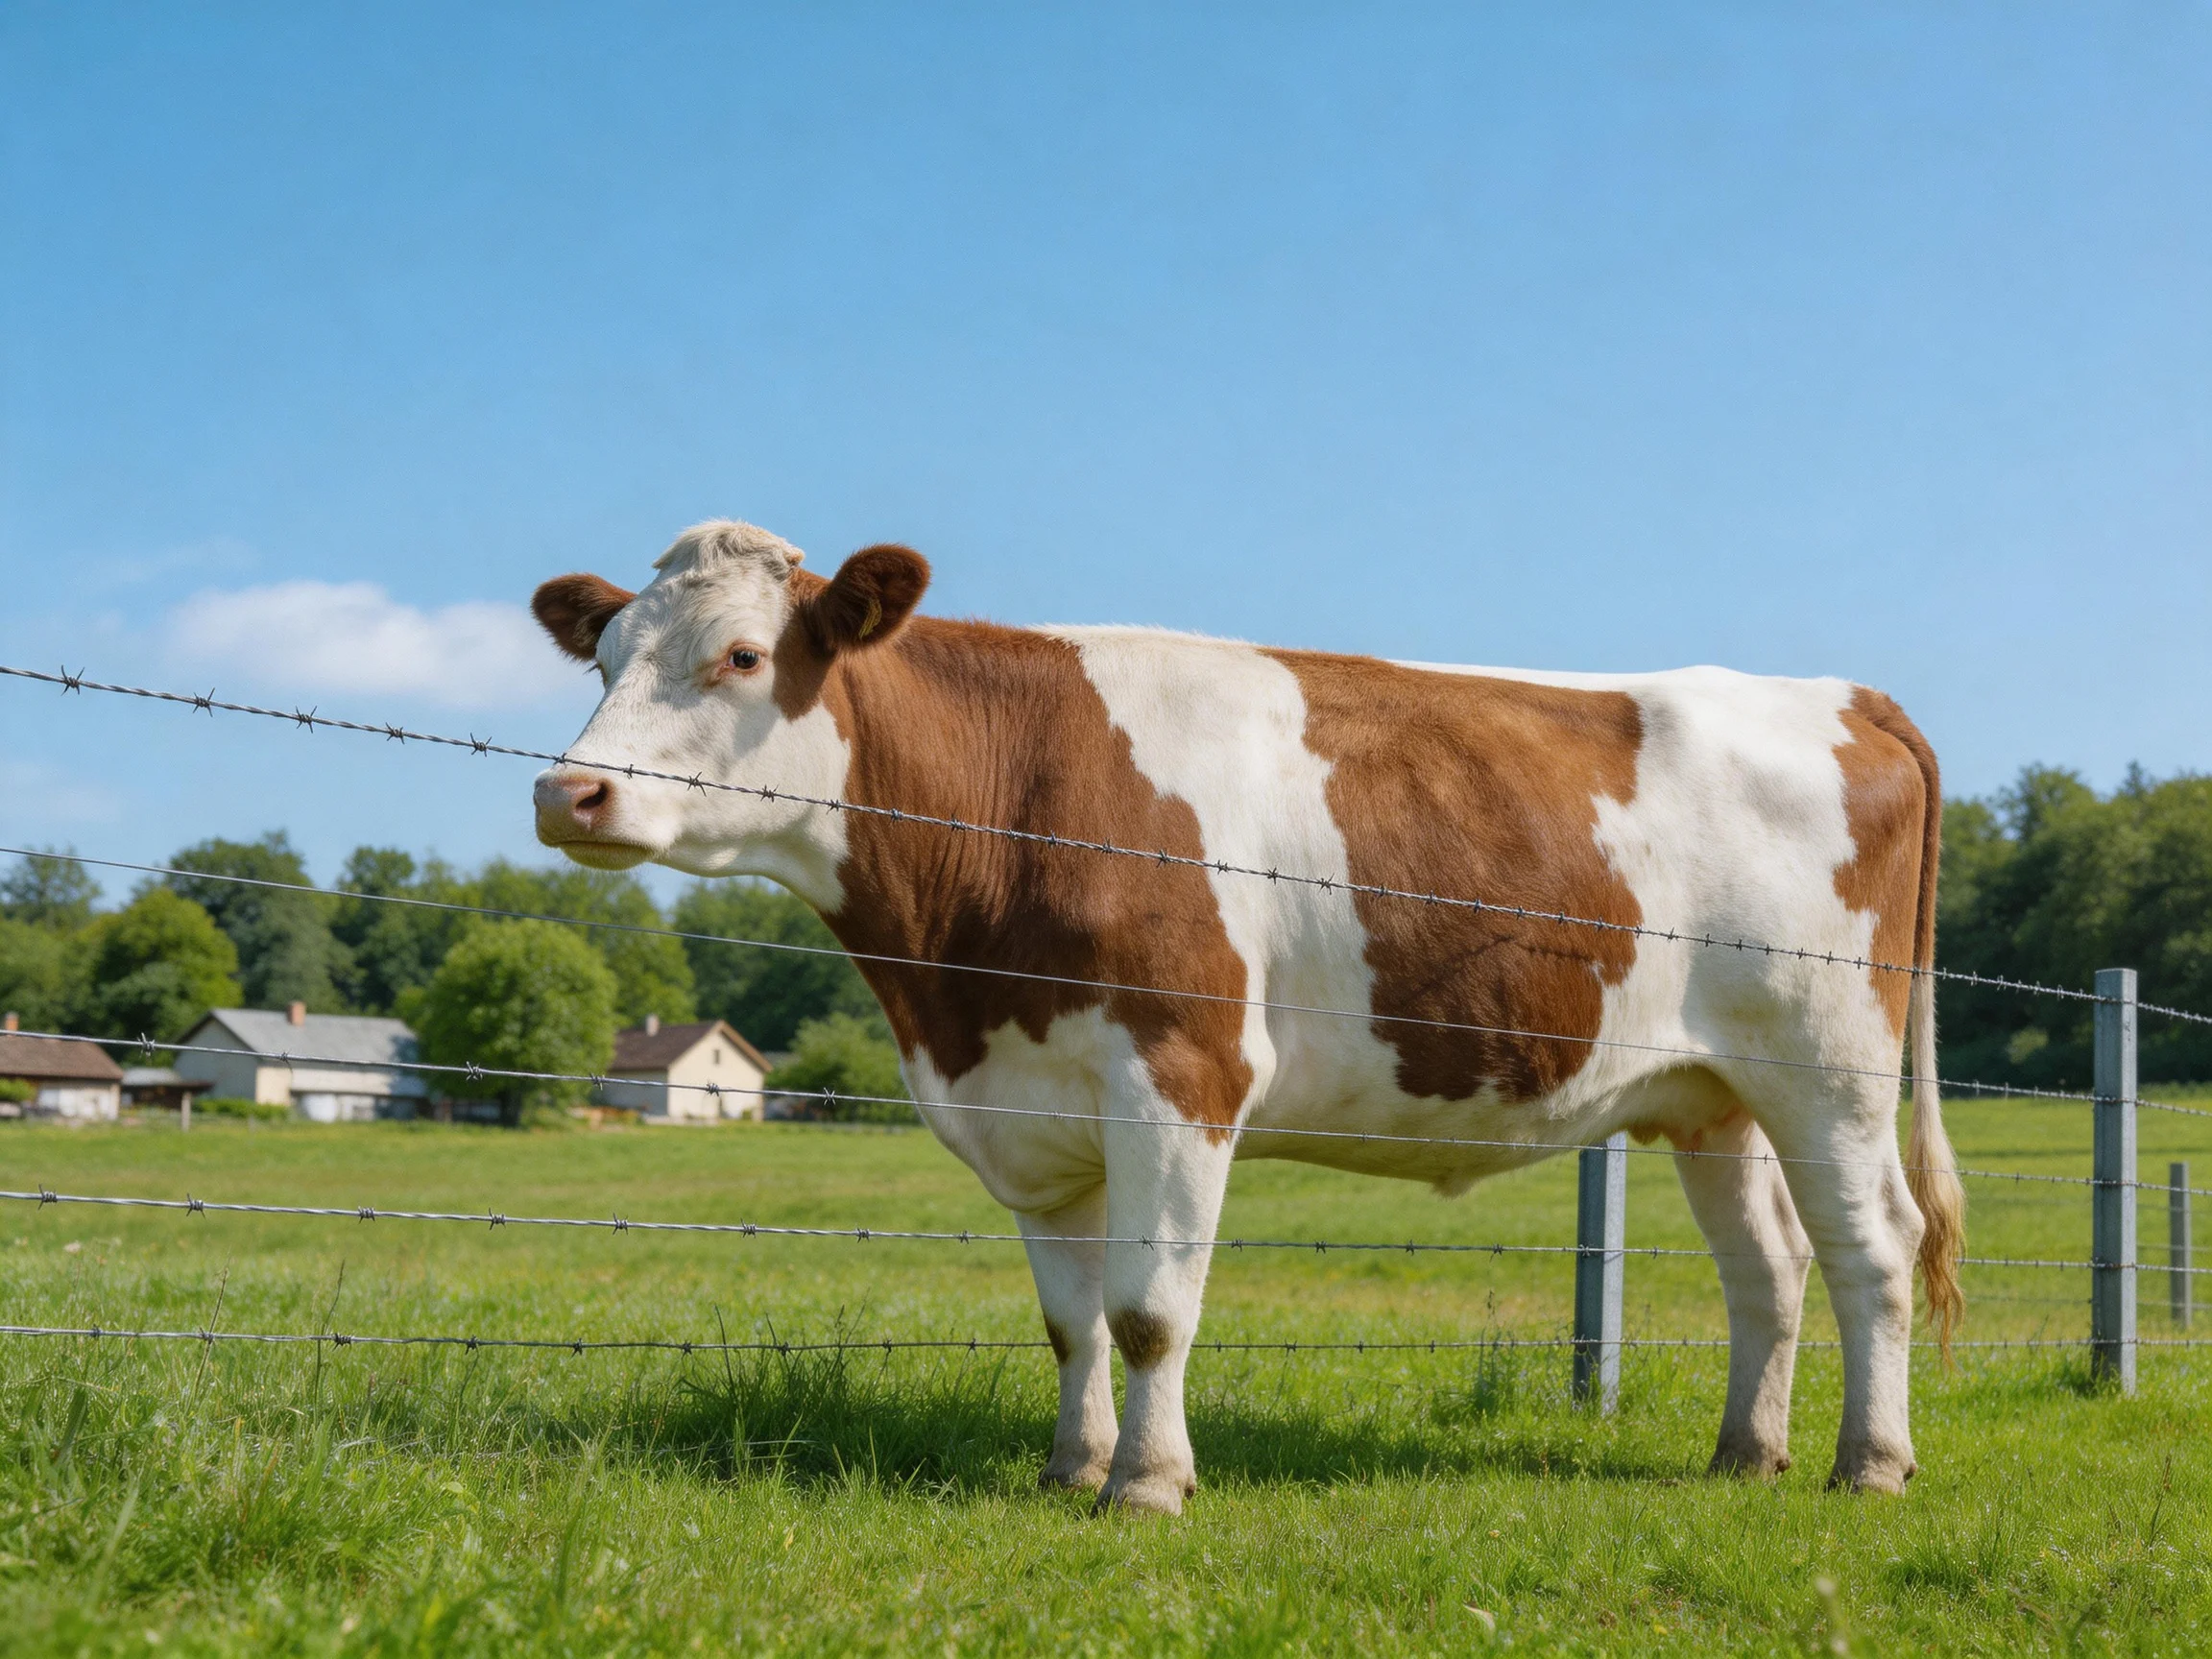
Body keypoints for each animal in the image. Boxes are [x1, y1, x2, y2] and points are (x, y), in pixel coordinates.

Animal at [530, 519, 1965, 1512]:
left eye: (740, 656)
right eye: (601, 658)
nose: (566, 793)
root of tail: (1839, 695)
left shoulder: (1183, 1071)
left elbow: (1151, 1309)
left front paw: (1147, 1486)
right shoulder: (1033, 1109)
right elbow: (1071, 1318)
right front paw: (1070, 1469)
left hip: (1832, 1067)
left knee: (1874, 1248)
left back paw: (1872, 1463)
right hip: (1716, 1092)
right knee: (1770, 1266)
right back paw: (1745, 1455)